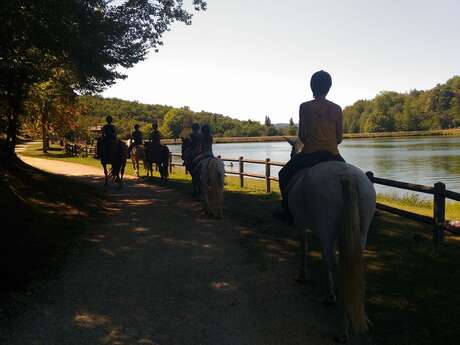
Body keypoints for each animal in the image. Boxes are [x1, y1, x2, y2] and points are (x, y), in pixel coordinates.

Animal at [288, 161, 378, 342]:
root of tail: (346, 176)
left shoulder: (301, 226)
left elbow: (304, 249)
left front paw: (303, 276)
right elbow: (325, 260)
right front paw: (329, 294)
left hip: (326, 229)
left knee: (342, 274)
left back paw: (342, 328)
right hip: (360, 233)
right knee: (354, 269)